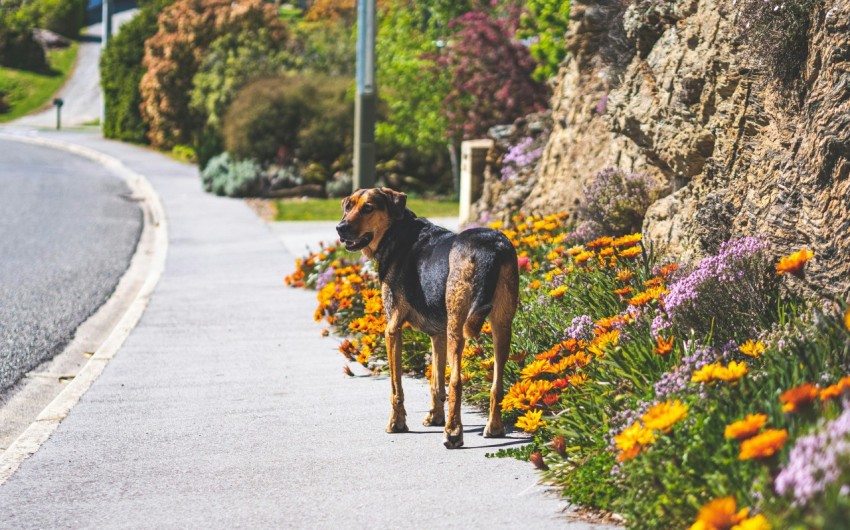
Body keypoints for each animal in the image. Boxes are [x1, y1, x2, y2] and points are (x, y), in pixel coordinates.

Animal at [336, 186, 520, 446]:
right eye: (349, 206)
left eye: (368, 208)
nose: (340, 228)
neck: (396, 232)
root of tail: (491, 247)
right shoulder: (437, 335)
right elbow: (436, 381)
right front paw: (435, 417)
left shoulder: (392, 329)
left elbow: (396, 387)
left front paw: (397, 423)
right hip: (502, 324)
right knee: (497, 383)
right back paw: (493, 427)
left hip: (457, 323)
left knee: (456, 380)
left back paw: (453, 432)